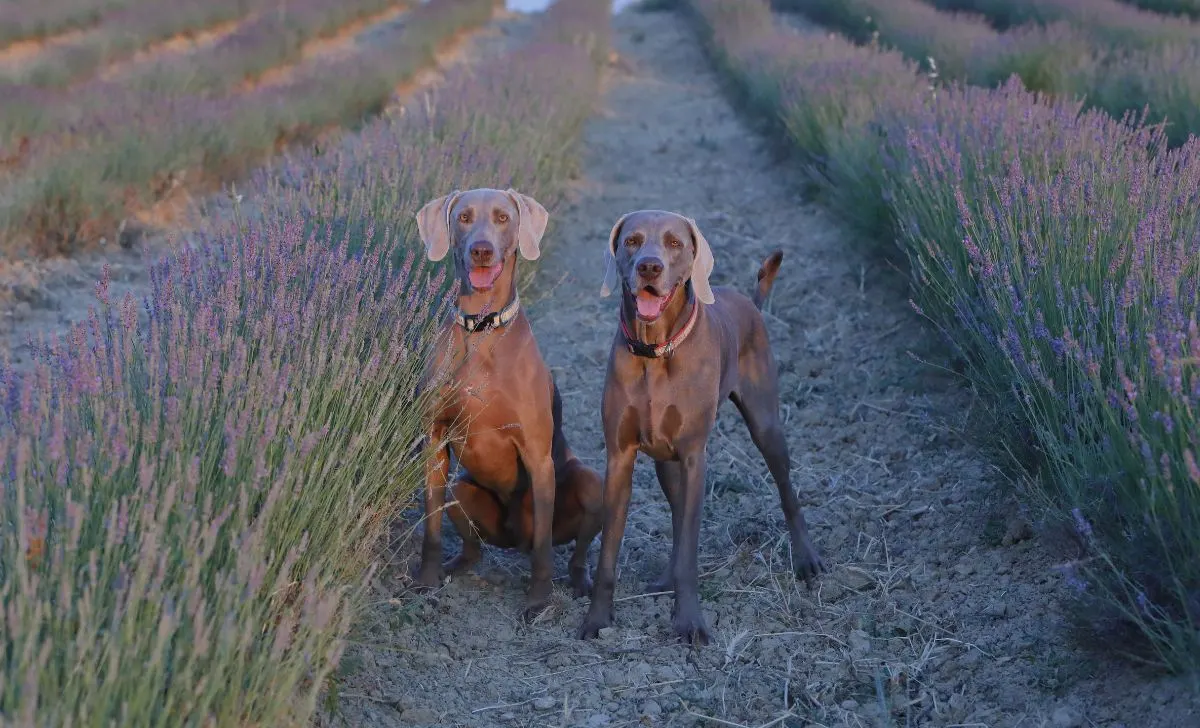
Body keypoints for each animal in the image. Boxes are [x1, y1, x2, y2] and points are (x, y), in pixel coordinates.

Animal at [412, 188, 604, 618]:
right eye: (464, 217)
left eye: (502, 217)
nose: (481, 250)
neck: (481, 328)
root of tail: (516, 541)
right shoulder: (435, 443)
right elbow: (431, 529)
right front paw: (426, 581)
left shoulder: (537, 456)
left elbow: (545, 552)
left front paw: (539, 601)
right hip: (461, 491)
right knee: (475, 549)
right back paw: (455, 567)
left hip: (590, 484)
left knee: (570, 552)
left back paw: (581, 583)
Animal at [578, 209, 825, 642]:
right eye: (632, 241)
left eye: (675, 243)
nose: (650, 267)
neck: (656, 351)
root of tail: (750, 303)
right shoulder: (620, 457)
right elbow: (610, 548)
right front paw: (597, 619)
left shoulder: (695, 457)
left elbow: (691, 549)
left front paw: (690, 622)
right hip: (665, 460)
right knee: (677, 517)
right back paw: (664, 579)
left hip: (766, 425)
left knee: (786, 490)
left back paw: (807, 559)